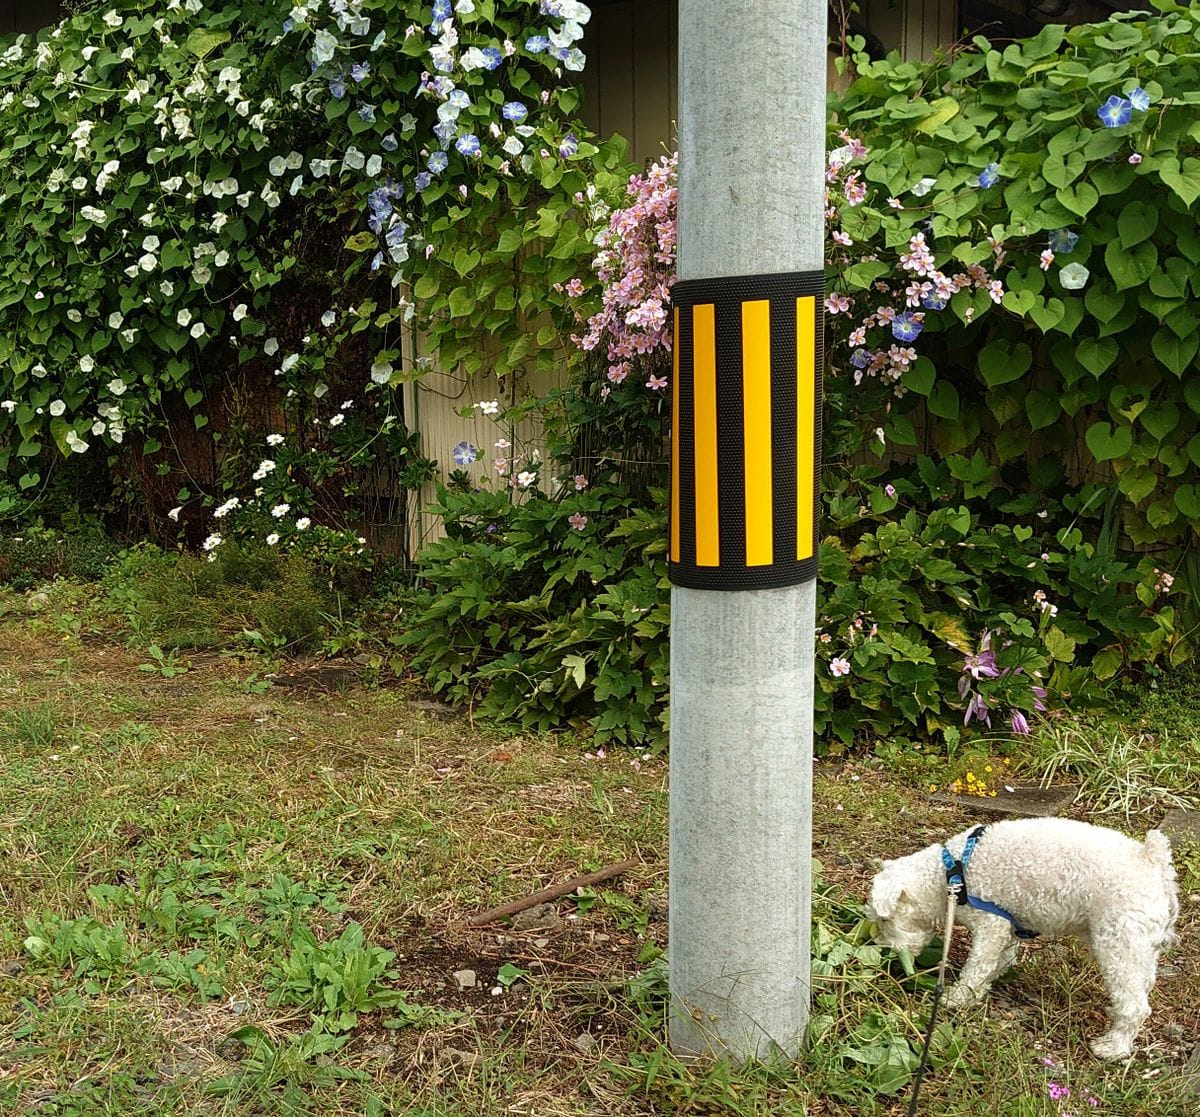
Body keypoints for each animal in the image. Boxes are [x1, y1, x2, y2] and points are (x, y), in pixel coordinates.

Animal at [868, 815, 1176, 1060]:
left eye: (885, 920)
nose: (883, 951)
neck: (950, 874)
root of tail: (1152, 862)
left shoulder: (991, 925)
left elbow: (977, 967)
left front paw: (956, 998)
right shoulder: (1007, 929)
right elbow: (999, 963)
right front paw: (979, 992)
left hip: (1119, 946)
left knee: (1136, 1005)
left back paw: (1113, 1047)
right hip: (1140, 950)